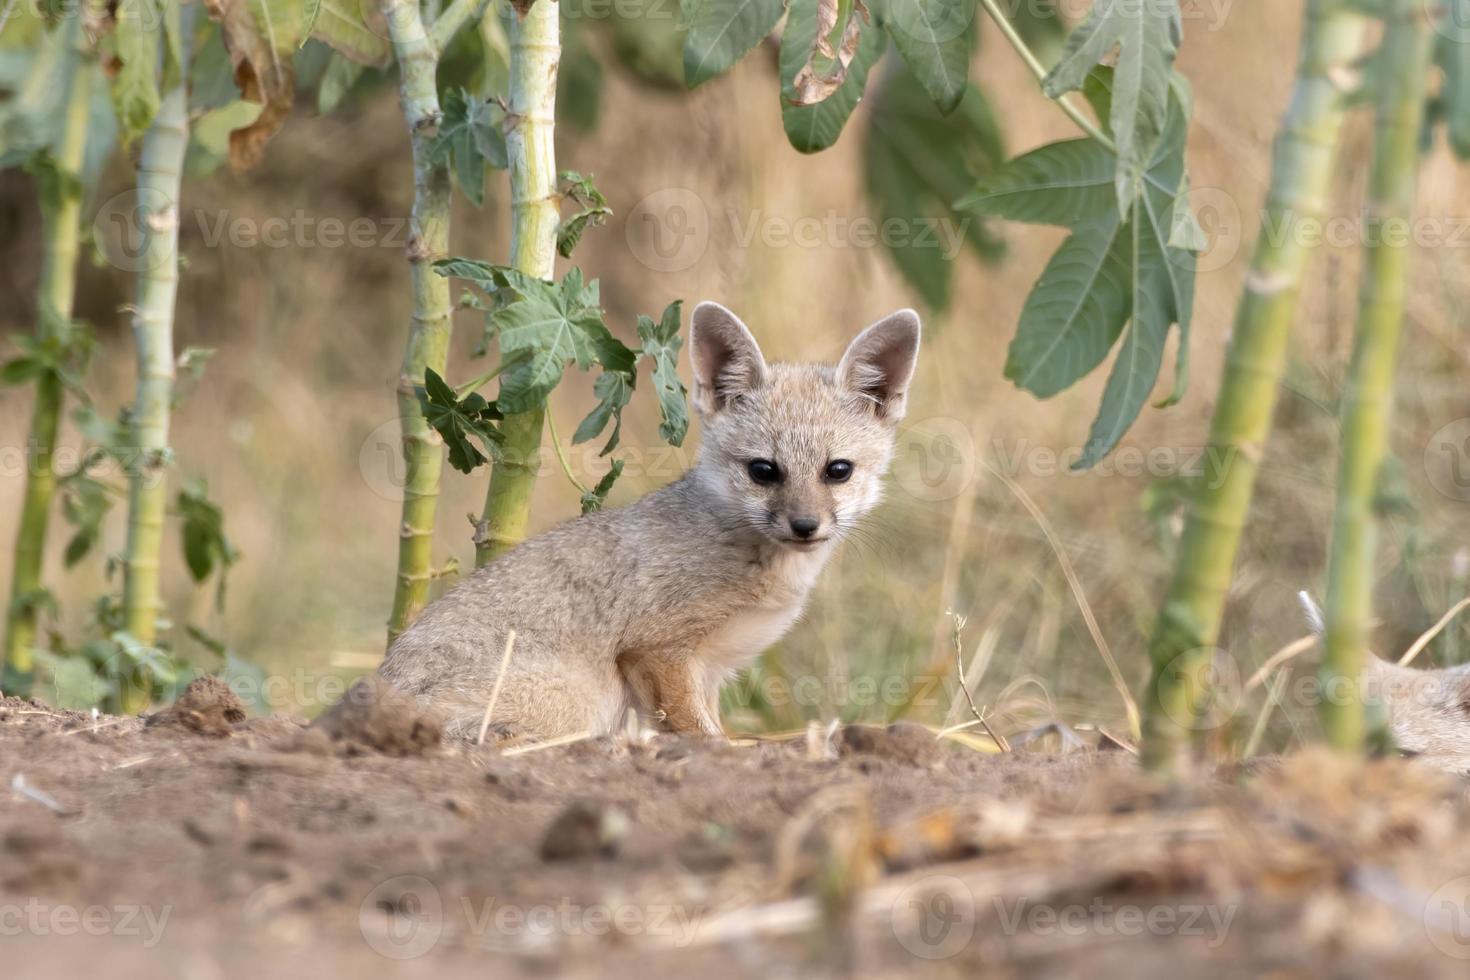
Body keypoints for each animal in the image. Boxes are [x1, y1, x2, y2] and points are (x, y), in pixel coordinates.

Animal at [379, 302, 917, 740]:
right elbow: (702, 735)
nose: (805, 525)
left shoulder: (710, 671)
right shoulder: (657, 650)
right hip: (580, 701)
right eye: (764, 471)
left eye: (838, 470)